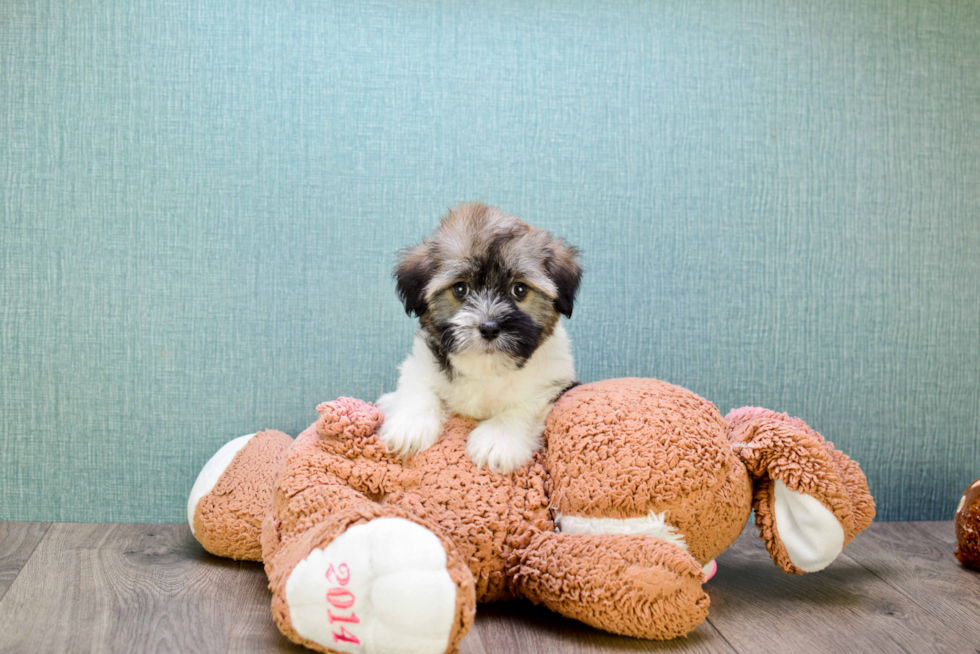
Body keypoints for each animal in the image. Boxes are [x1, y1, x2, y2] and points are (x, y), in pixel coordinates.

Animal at [378, 202, 580, 474]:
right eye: (460, 288)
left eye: (519, 289)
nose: (489, 328)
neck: (485, 369)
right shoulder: (421, 364)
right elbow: (419, 387)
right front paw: (410, 426)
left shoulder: (553, 382)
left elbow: (525, 406)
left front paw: (498, 439)